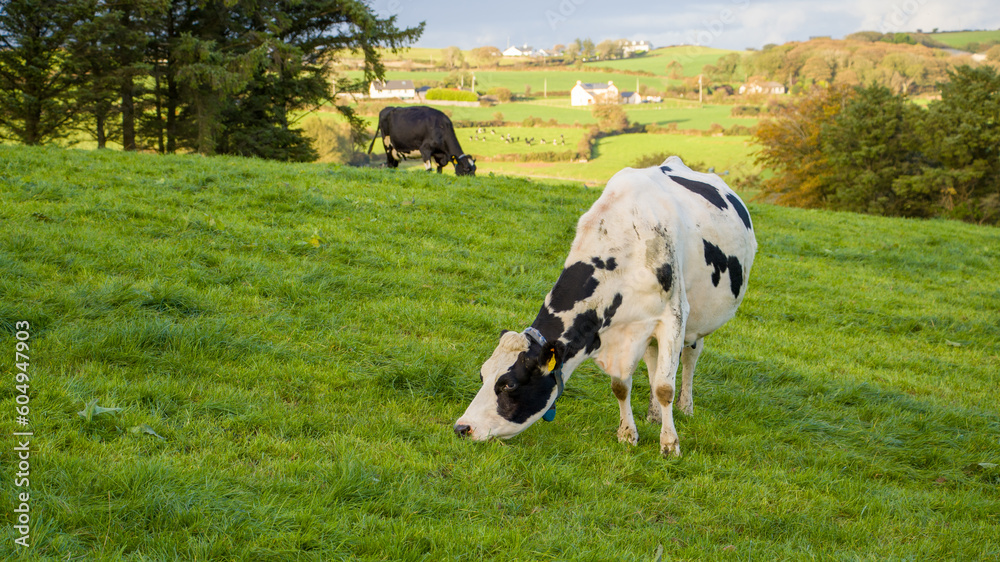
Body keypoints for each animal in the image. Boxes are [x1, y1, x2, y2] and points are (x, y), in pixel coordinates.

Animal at [454, 156, 756, 457]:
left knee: (690, 358)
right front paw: (628, 434)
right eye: (482, 374)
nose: (462, 427)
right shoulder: (617, 333)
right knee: (653, 360)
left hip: (698, 319)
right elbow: (621, 386)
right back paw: (654, 415)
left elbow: (664, 387)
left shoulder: (673, 317)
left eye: (508, 383)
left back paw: (685, 407)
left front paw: (670, 445)